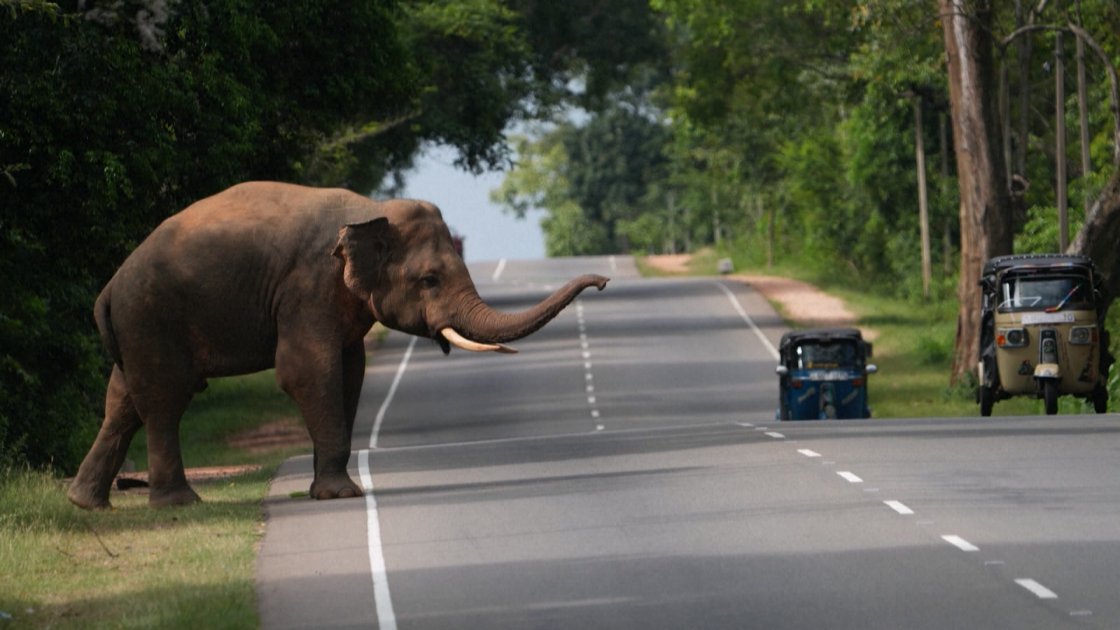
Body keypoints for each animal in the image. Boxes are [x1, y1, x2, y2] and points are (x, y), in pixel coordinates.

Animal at [67, 181, 609, 509]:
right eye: (430, 280)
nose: (603, 282)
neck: (371, 211)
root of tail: (108, 290)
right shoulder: (308, 287)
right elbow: (307, 371)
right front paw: (341, 496)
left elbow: (350, 372)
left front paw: (324, 490)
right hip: (152, 318)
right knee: (164, 399)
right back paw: (178, 503)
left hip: (139, 327)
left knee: (122, 401)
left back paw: (86, 502)